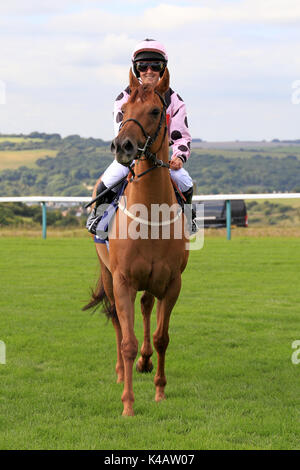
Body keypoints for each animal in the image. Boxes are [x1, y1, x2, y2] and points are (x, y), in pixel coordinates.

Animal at [83, 68, 189, 416]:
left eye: (156, 111)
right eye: (124, 111)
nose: (122, 146)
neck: (150, 218)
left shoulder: (172, 283)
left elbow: (161, 337)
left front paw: (159, 391)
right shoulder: (123, 280)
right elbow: (127, 341)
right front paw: (128, 404)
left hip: (152, 282)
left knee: (145, 308)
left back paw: (145, 362)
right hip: (107, 275)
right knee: (117, 320)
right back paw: (121, 372)